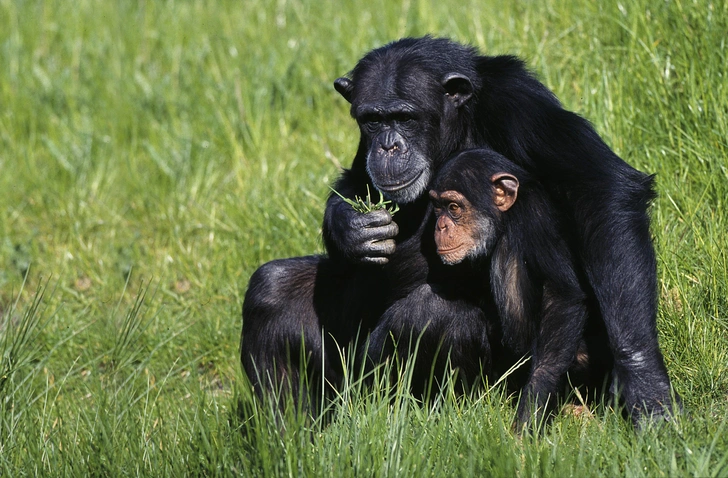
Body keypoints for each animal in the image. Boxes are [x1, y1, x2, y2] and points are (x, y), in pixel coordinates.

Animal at [430, 148, 588, 426]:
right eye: (438, 208)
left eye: (453, 207)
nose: (440, 225)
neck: (506, 218)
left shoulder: (535, 220)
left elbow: (561, 296)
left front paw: (531, 411)